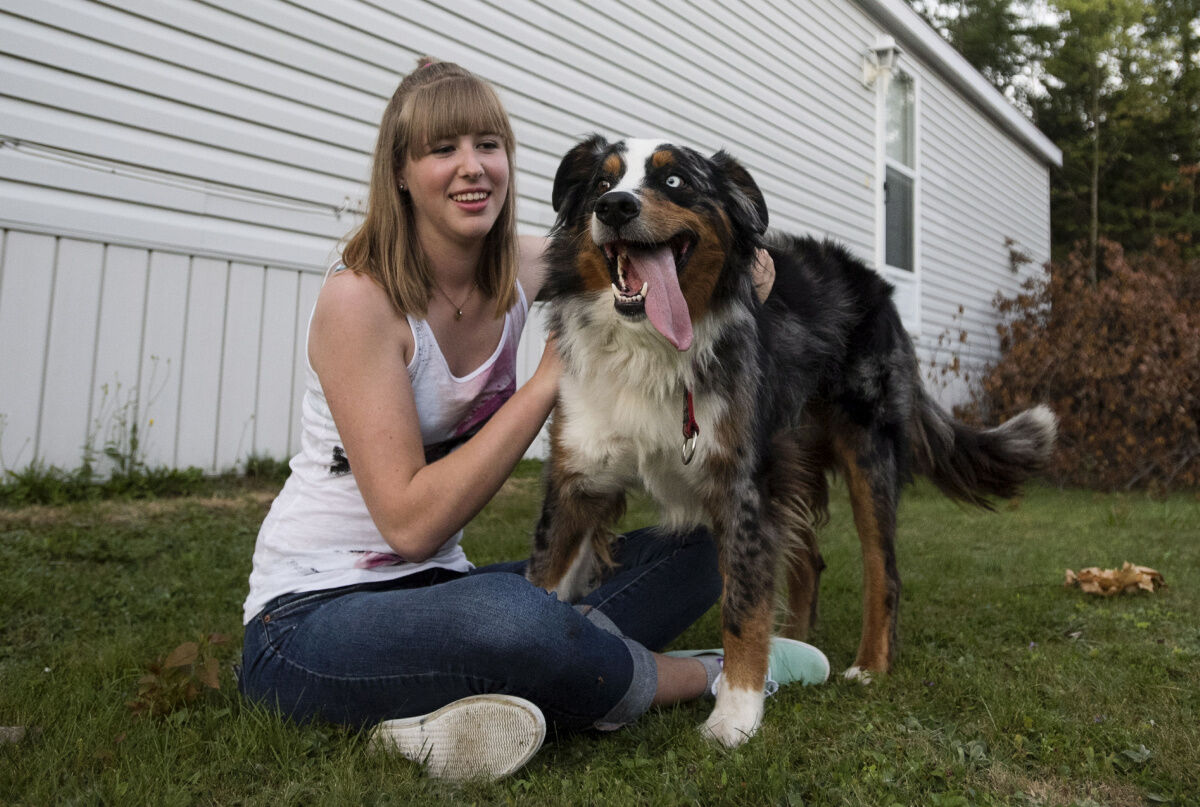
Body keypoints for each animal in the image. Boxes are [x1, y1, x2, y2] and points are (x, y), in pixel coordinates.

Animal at [530, 135, 1056, 749]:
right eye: (601, 183)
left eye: (675, 181)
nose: (614, 207)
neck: (648, 348)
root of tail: (873, 281)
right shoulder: (578, 482)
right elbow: (543, 584)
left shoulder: (742, 486)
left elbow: (742, 605)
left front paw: (735, 714)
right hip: (791, 463)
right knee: (808, 561)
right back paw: (796, 643)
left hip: (864, 452)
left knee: (884, 571)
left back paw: (869, 665)